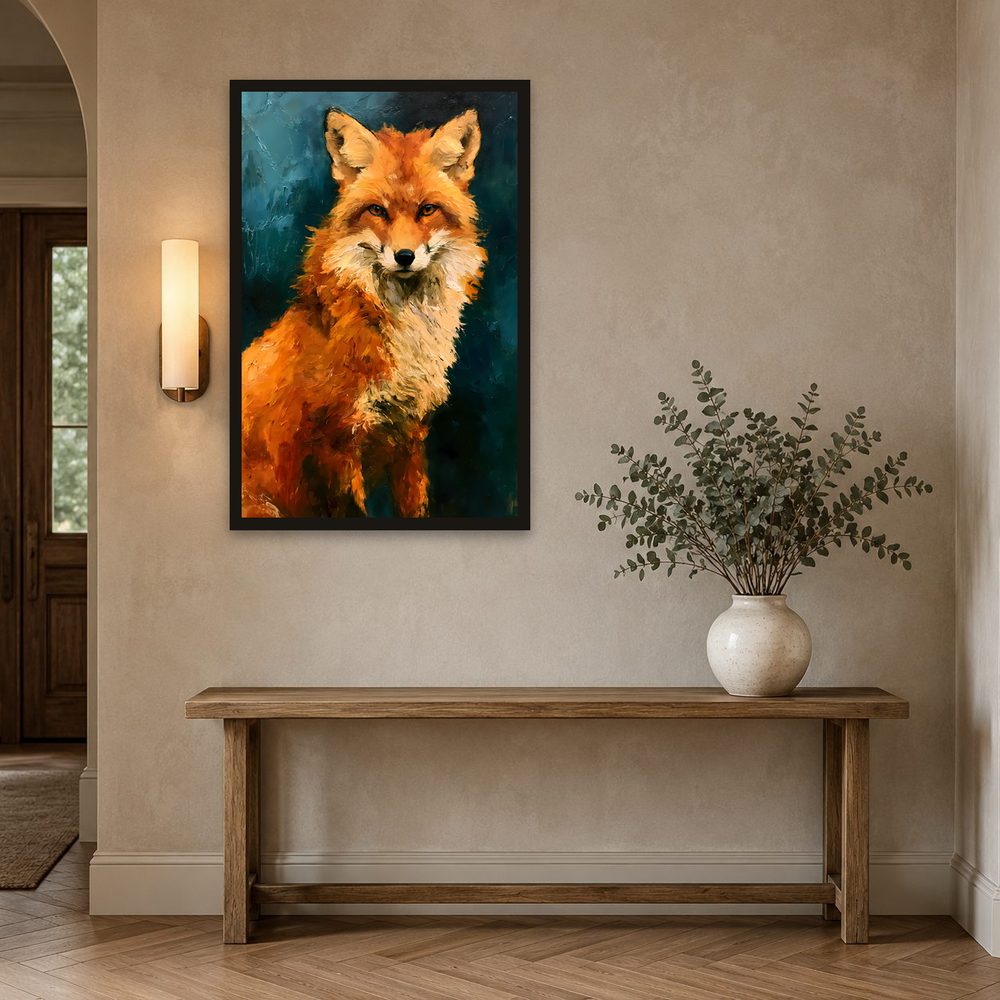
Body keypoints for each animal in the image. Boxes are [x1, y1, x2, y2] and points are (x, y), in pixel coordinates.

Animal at [241, 107, 487, 518]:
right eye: (377, 211)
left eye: (427, 210)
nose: (404, 256)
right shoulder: (334, 442)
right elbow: (352, 510)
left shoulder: (409, 433)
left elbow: (414, 508)